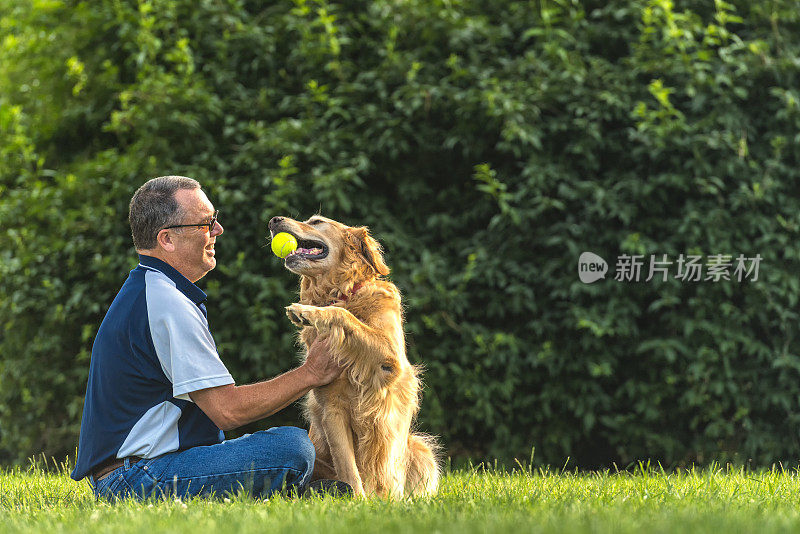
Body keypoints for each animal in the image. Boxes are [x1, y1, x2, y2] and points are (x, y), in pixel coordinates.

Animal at [268, 216, 440, 500]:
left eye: (316, 221)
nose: (274, 220)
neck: (343, 293)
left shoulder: (390, 357)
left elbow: (341, 313)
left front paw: (308, 311)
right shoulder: (333, 410)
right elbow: (348, 466)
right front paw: (357, 501)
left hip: (420, 449)